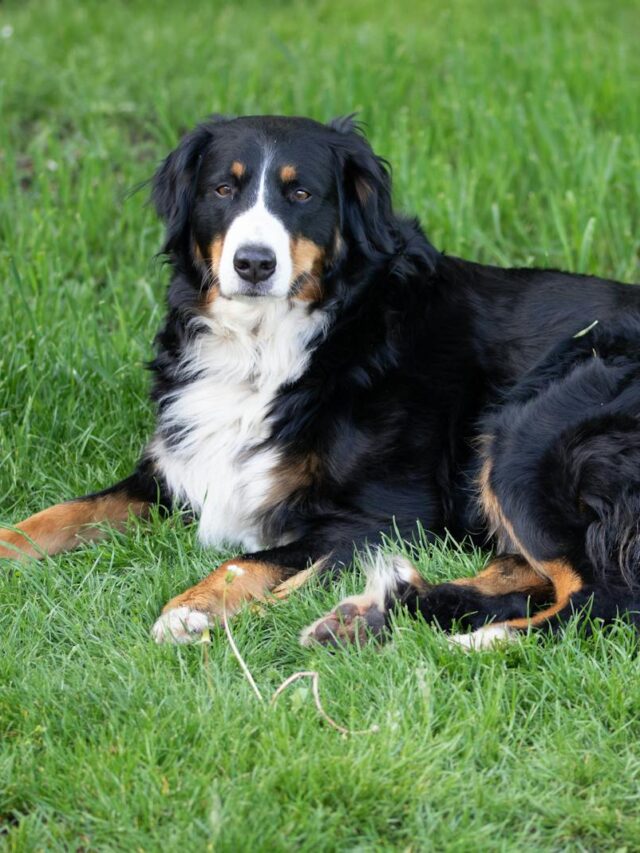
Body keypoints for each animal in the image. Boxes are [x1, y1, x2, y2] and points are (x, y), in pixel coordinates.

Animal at [1, 111, 640, 644]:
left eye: (301, 193)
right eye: (223, 188)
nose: (253, 263)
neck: (267, 349)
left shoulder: (391, 514)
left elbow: (256, 560)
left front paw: (196, 607)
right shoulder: (173, 471)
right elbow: (58, 515)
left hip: (525, 435)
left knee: (601, 597)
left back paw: (470, 639)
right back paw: (367, 616)